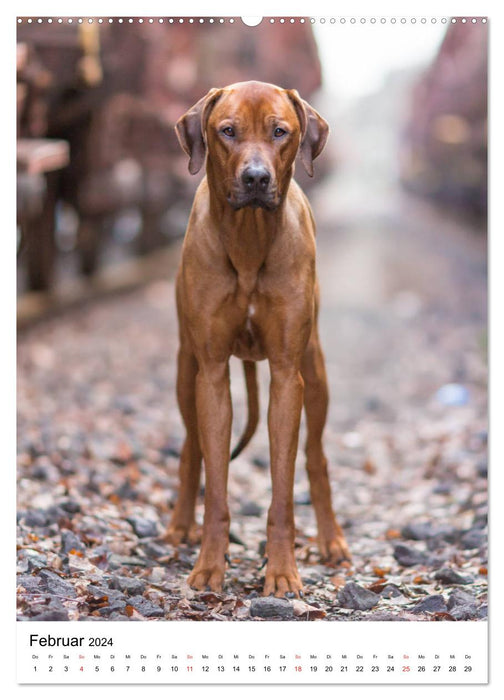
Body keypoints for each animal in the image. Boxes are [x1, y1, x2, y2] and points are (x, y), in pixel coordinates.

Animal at [167, 80, 348, 596]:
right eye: (227, 131)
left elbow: (283, 492)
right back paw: (180, 525)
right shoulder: (209, 373)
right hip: (185, 369)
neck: (248, 244)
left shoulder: (289, 376)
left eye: (280, 131)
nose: (255, 178)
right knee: (191, 447)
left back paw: (331, 539)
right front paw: (209, 565)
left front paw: (283, 571)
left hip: (316, 371)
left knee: (316, 459)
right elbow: (215, 487)